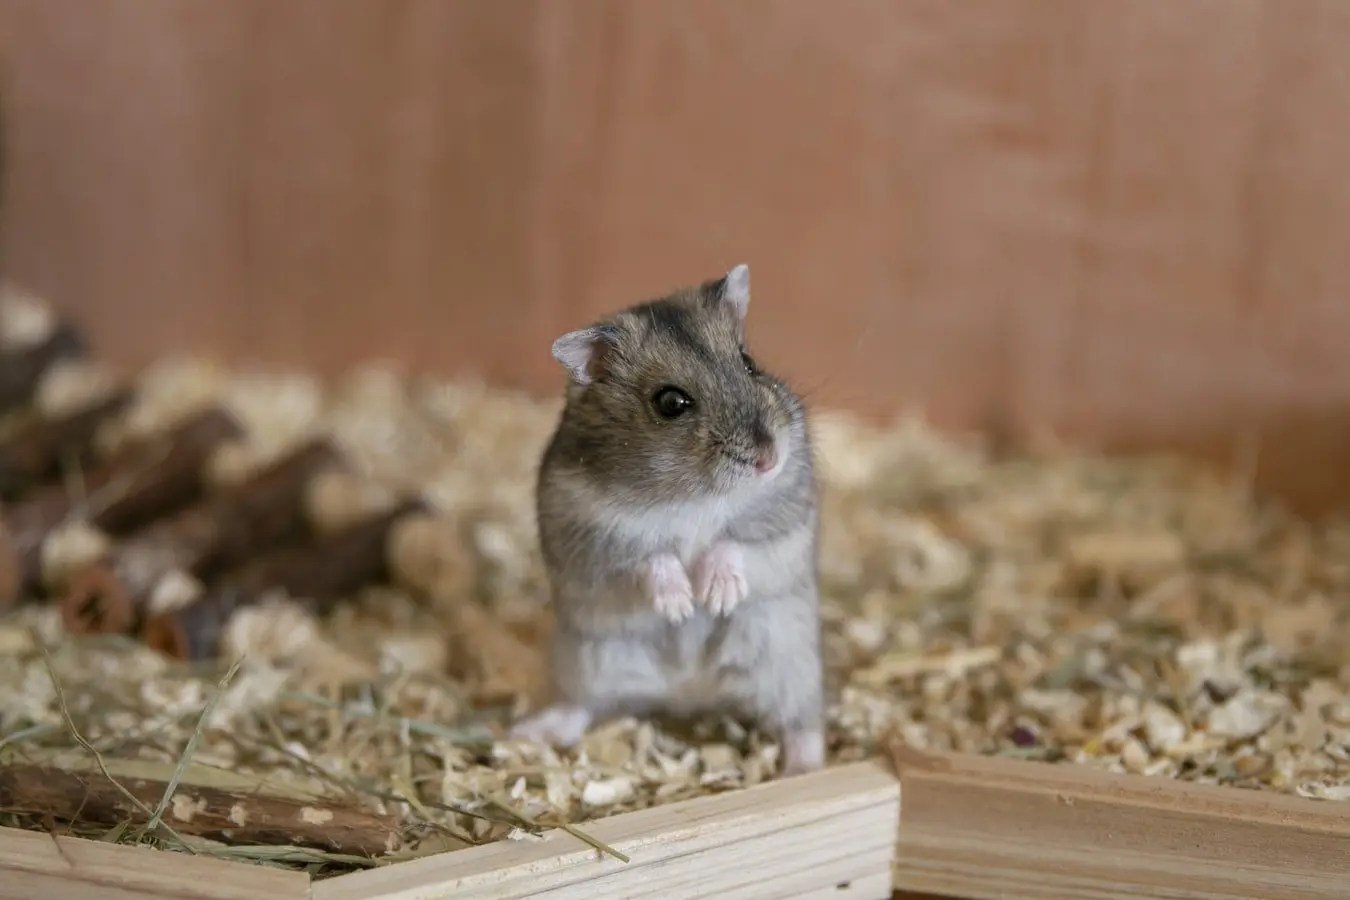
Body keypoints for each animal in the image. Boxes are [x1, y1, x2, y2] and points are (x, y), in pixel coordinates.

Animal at [510, 263, 826, 776]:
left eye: (749, 362)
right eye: (671, 403)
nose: (768, 459)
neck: (693, 495)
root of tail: (689, 693)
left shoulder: (786, 518)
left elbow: (736, 543)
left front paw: (715, 596)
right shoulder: (592, 538)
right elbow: (649, 558)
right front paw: (681, 605)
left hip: (790, 662)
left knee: (802, 723)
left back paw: (805, 770)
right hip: (588, 661)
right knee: (580, 707)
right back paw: (526, 733)